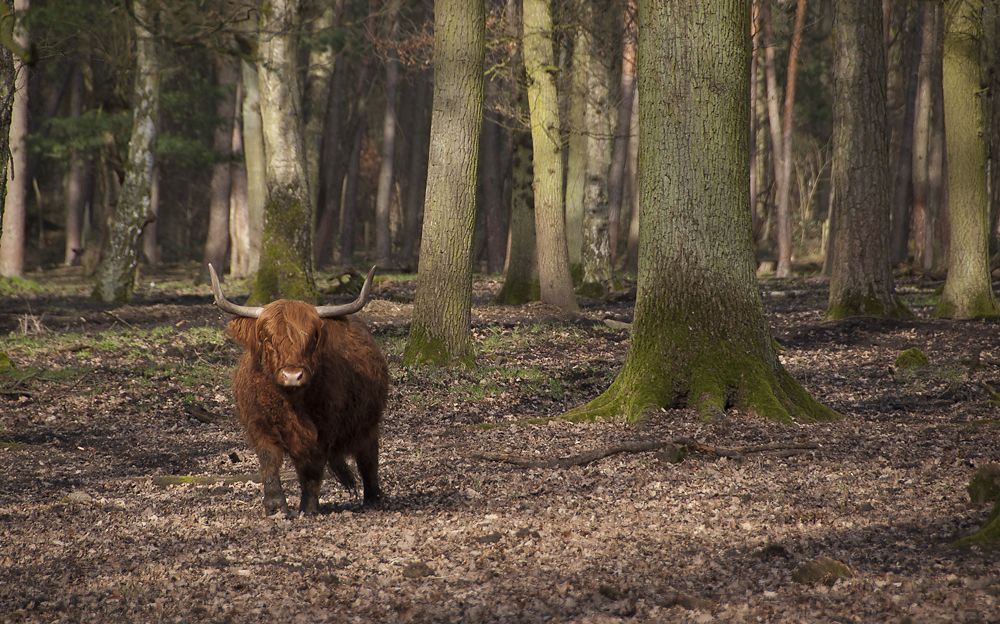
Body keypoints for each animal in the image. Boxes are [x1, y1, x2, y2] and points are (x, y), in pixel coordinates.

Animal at [209, 266, 388, 520]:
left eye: (312, 339)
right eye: (266, 338)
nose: (292, 375)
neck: (290, 403)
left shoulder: (324, 429)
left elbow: (312, 468)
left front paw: (308, 507)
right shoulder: (259, 425)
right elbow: (269, 461)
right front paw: (275, 506)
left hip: (369, 424)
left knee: (368, 458)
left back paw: (373, 498)